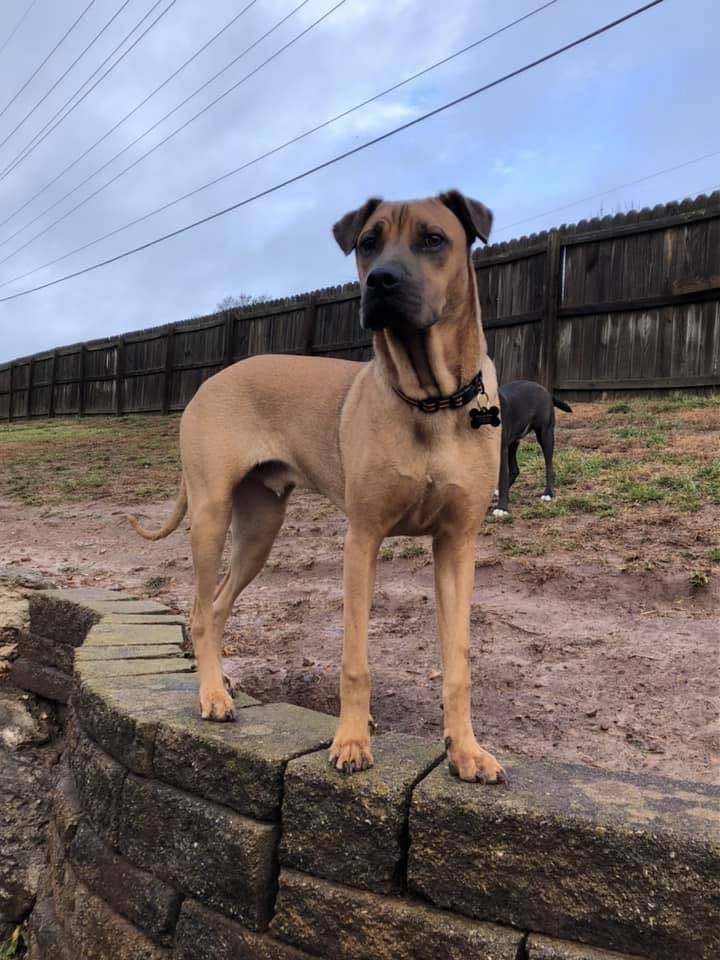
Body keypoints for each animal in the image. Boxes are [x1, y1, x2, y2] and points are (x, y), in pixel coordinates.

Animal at [132, 191, 506, 784]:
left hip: (259, 530)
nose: (381, 282)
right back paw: (212, 695)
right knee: (198, 608)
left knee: (216, 606)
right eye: (368, 242)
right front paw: (351, 741)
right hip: (211, 516)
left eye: (433, 239)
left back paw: (220, 680)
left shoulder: (456, 545)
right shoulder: (363, 539)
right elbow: (354, 660)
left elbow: (459, 662)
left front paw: (465, 750)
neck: (431, 401)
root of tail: (212, 379)